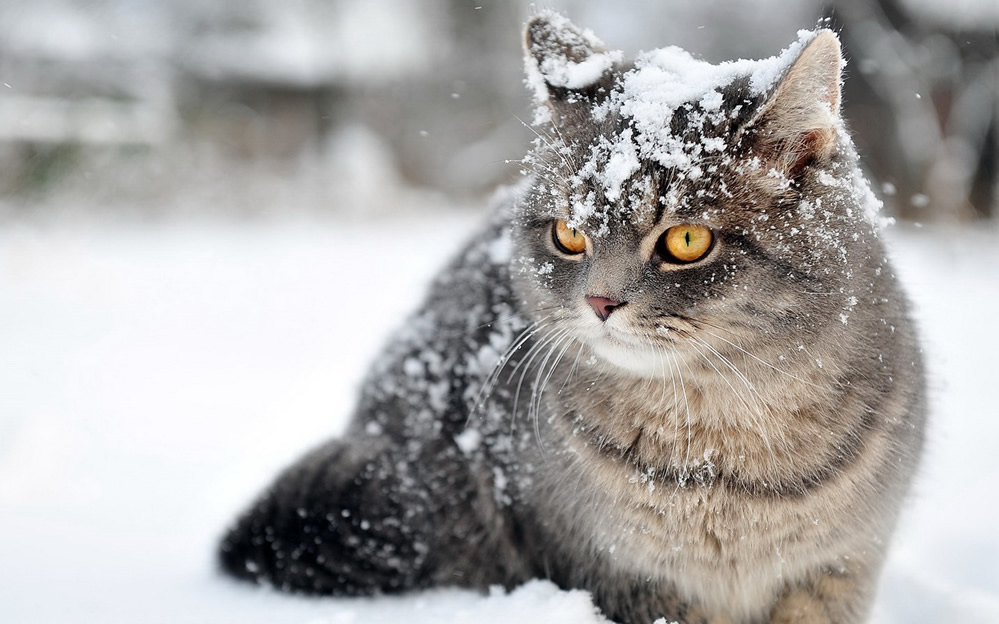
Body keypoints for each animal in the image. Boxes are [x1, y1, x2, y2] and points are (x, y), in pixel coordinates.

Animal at [219, 11, 928, 624]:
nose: (599, 302)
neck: (722, 456)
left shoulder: (839, 569)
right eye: (568, 234)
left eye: (687, 241)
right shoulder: (617, 572)